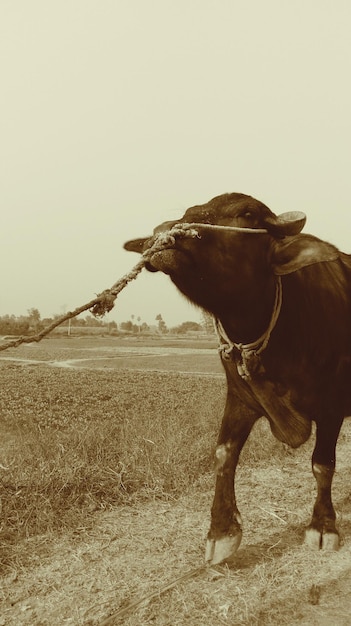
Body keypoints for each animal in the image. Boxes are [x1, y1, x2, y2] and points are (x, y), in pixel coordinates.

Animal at [124, 193, 351, 564]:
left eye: (246, 214)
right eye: (188, 211)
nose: (163, 233)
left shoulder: (331, 406)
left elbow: (322, 464)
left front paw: (322, 527)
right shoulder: (240, 398)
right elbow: (223, 454)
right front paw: (221, 531)